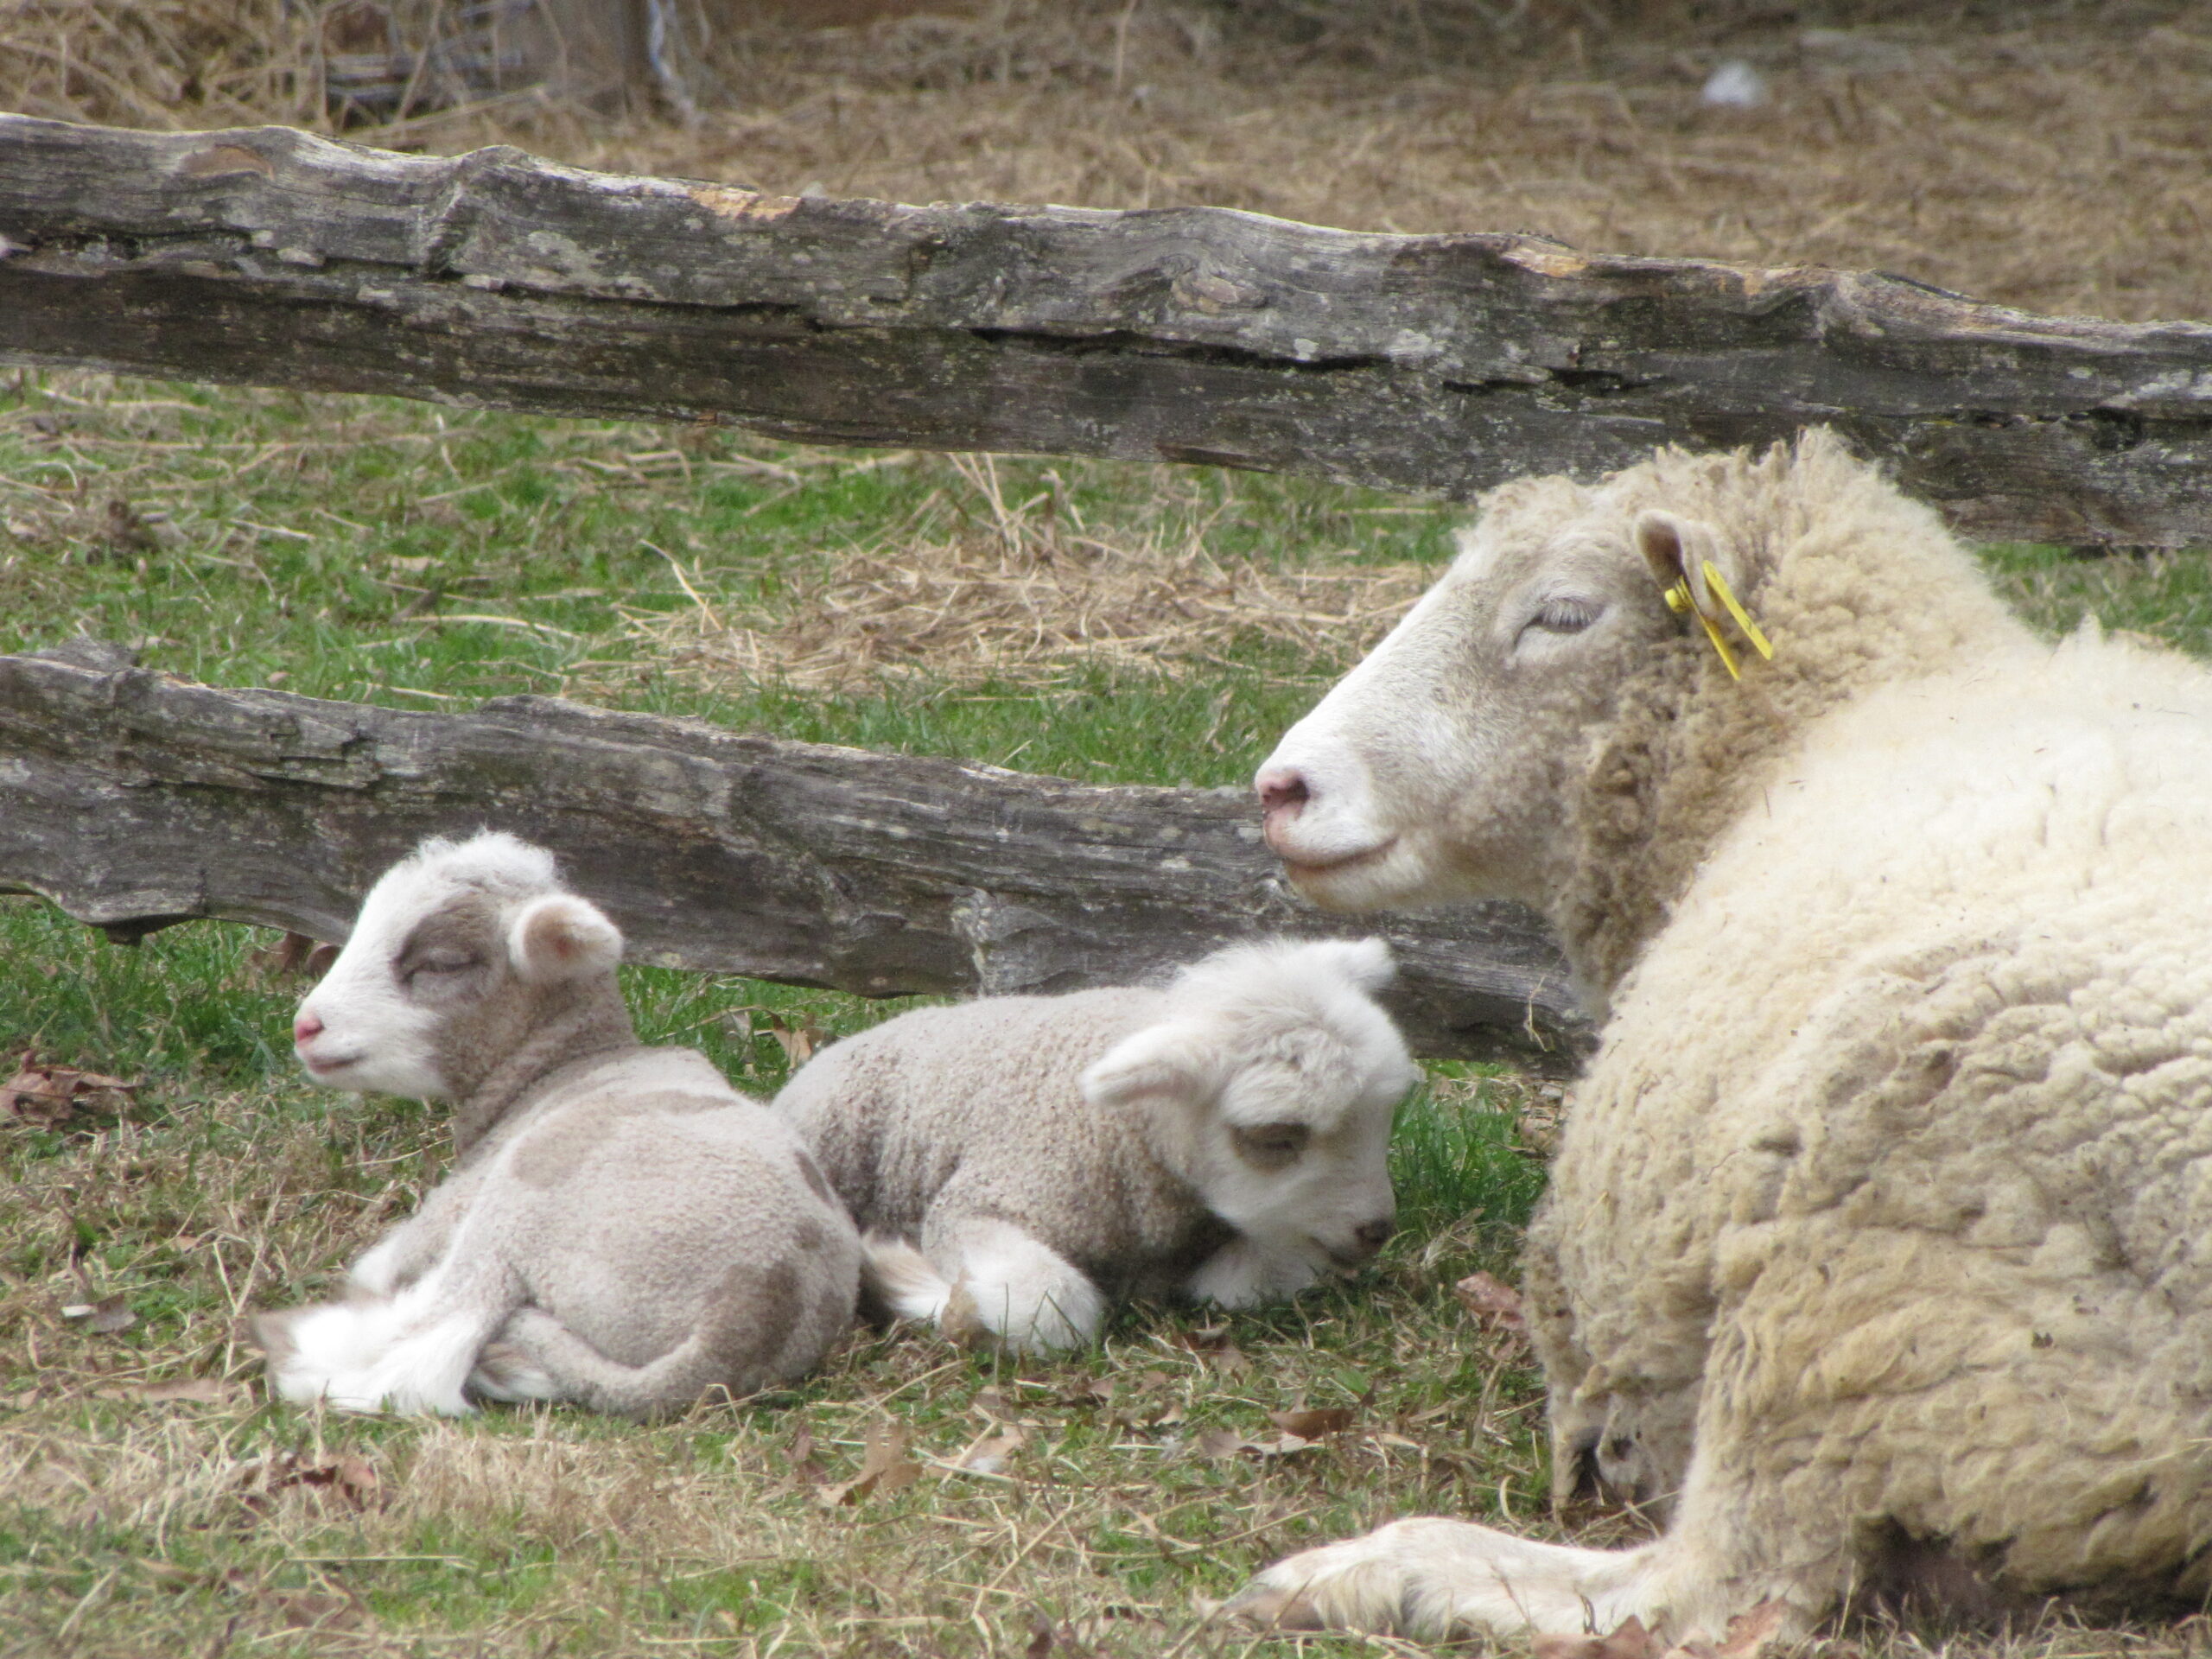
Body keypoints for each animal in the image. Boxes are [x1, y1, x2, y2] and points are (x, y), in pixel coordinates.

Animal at [251, 836, 854, 1424]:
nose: (306, 1027)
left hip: (526, 1200)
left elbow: (379, 1270)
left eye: (443, 964)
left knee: (428, 1351)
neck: (562, 1066)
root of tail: (741, 1322)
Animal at [774, 942, 1415, 1353]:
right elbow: (1050, 1307)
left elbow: (1242, 1286)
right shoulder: (983, 1201)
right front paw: (904, 1273)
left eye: (1384, 1118)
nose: (1376, 1230)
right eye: (1275, 1138)